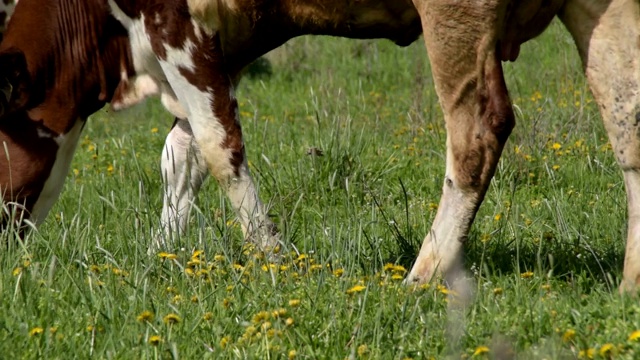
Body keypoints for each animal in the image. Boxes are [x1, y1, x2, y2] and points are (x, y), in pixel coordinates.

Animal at [1, 0, 640, 292]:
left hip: (457, 16)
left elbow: (217, 146)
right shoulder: (225, 44)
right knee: (627, 118)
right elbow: (181, 154)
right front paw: (160, 253)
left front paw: (274, 258)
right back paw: (631, 282)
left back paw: (423, 275)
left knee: (478, 129)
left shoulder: (175, 26)